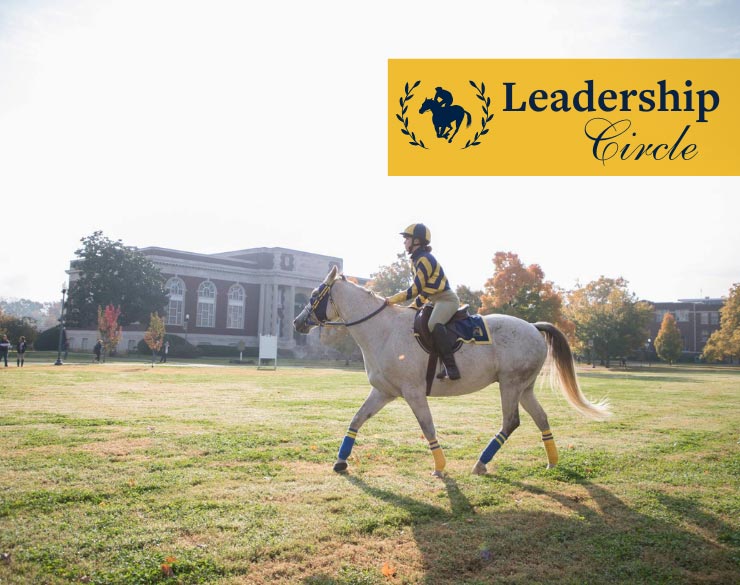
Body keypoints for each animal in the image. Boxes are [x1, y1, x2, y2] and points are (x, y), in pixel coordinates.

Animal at [292, 266, 608, 476]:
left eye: (315, 294)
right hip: (524, 388)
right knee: (541, 418)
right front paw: (340, 461)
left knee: (511, 422)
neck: (382, 330)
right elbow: (357, 419)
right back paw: (552, 461)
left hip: (510, 385)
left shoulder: (414, 393)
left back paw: (481, 463)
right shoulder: (383, 392)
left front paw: (440, 467)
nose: (297, 322)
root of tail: (533, 326)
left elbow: (427, 426)